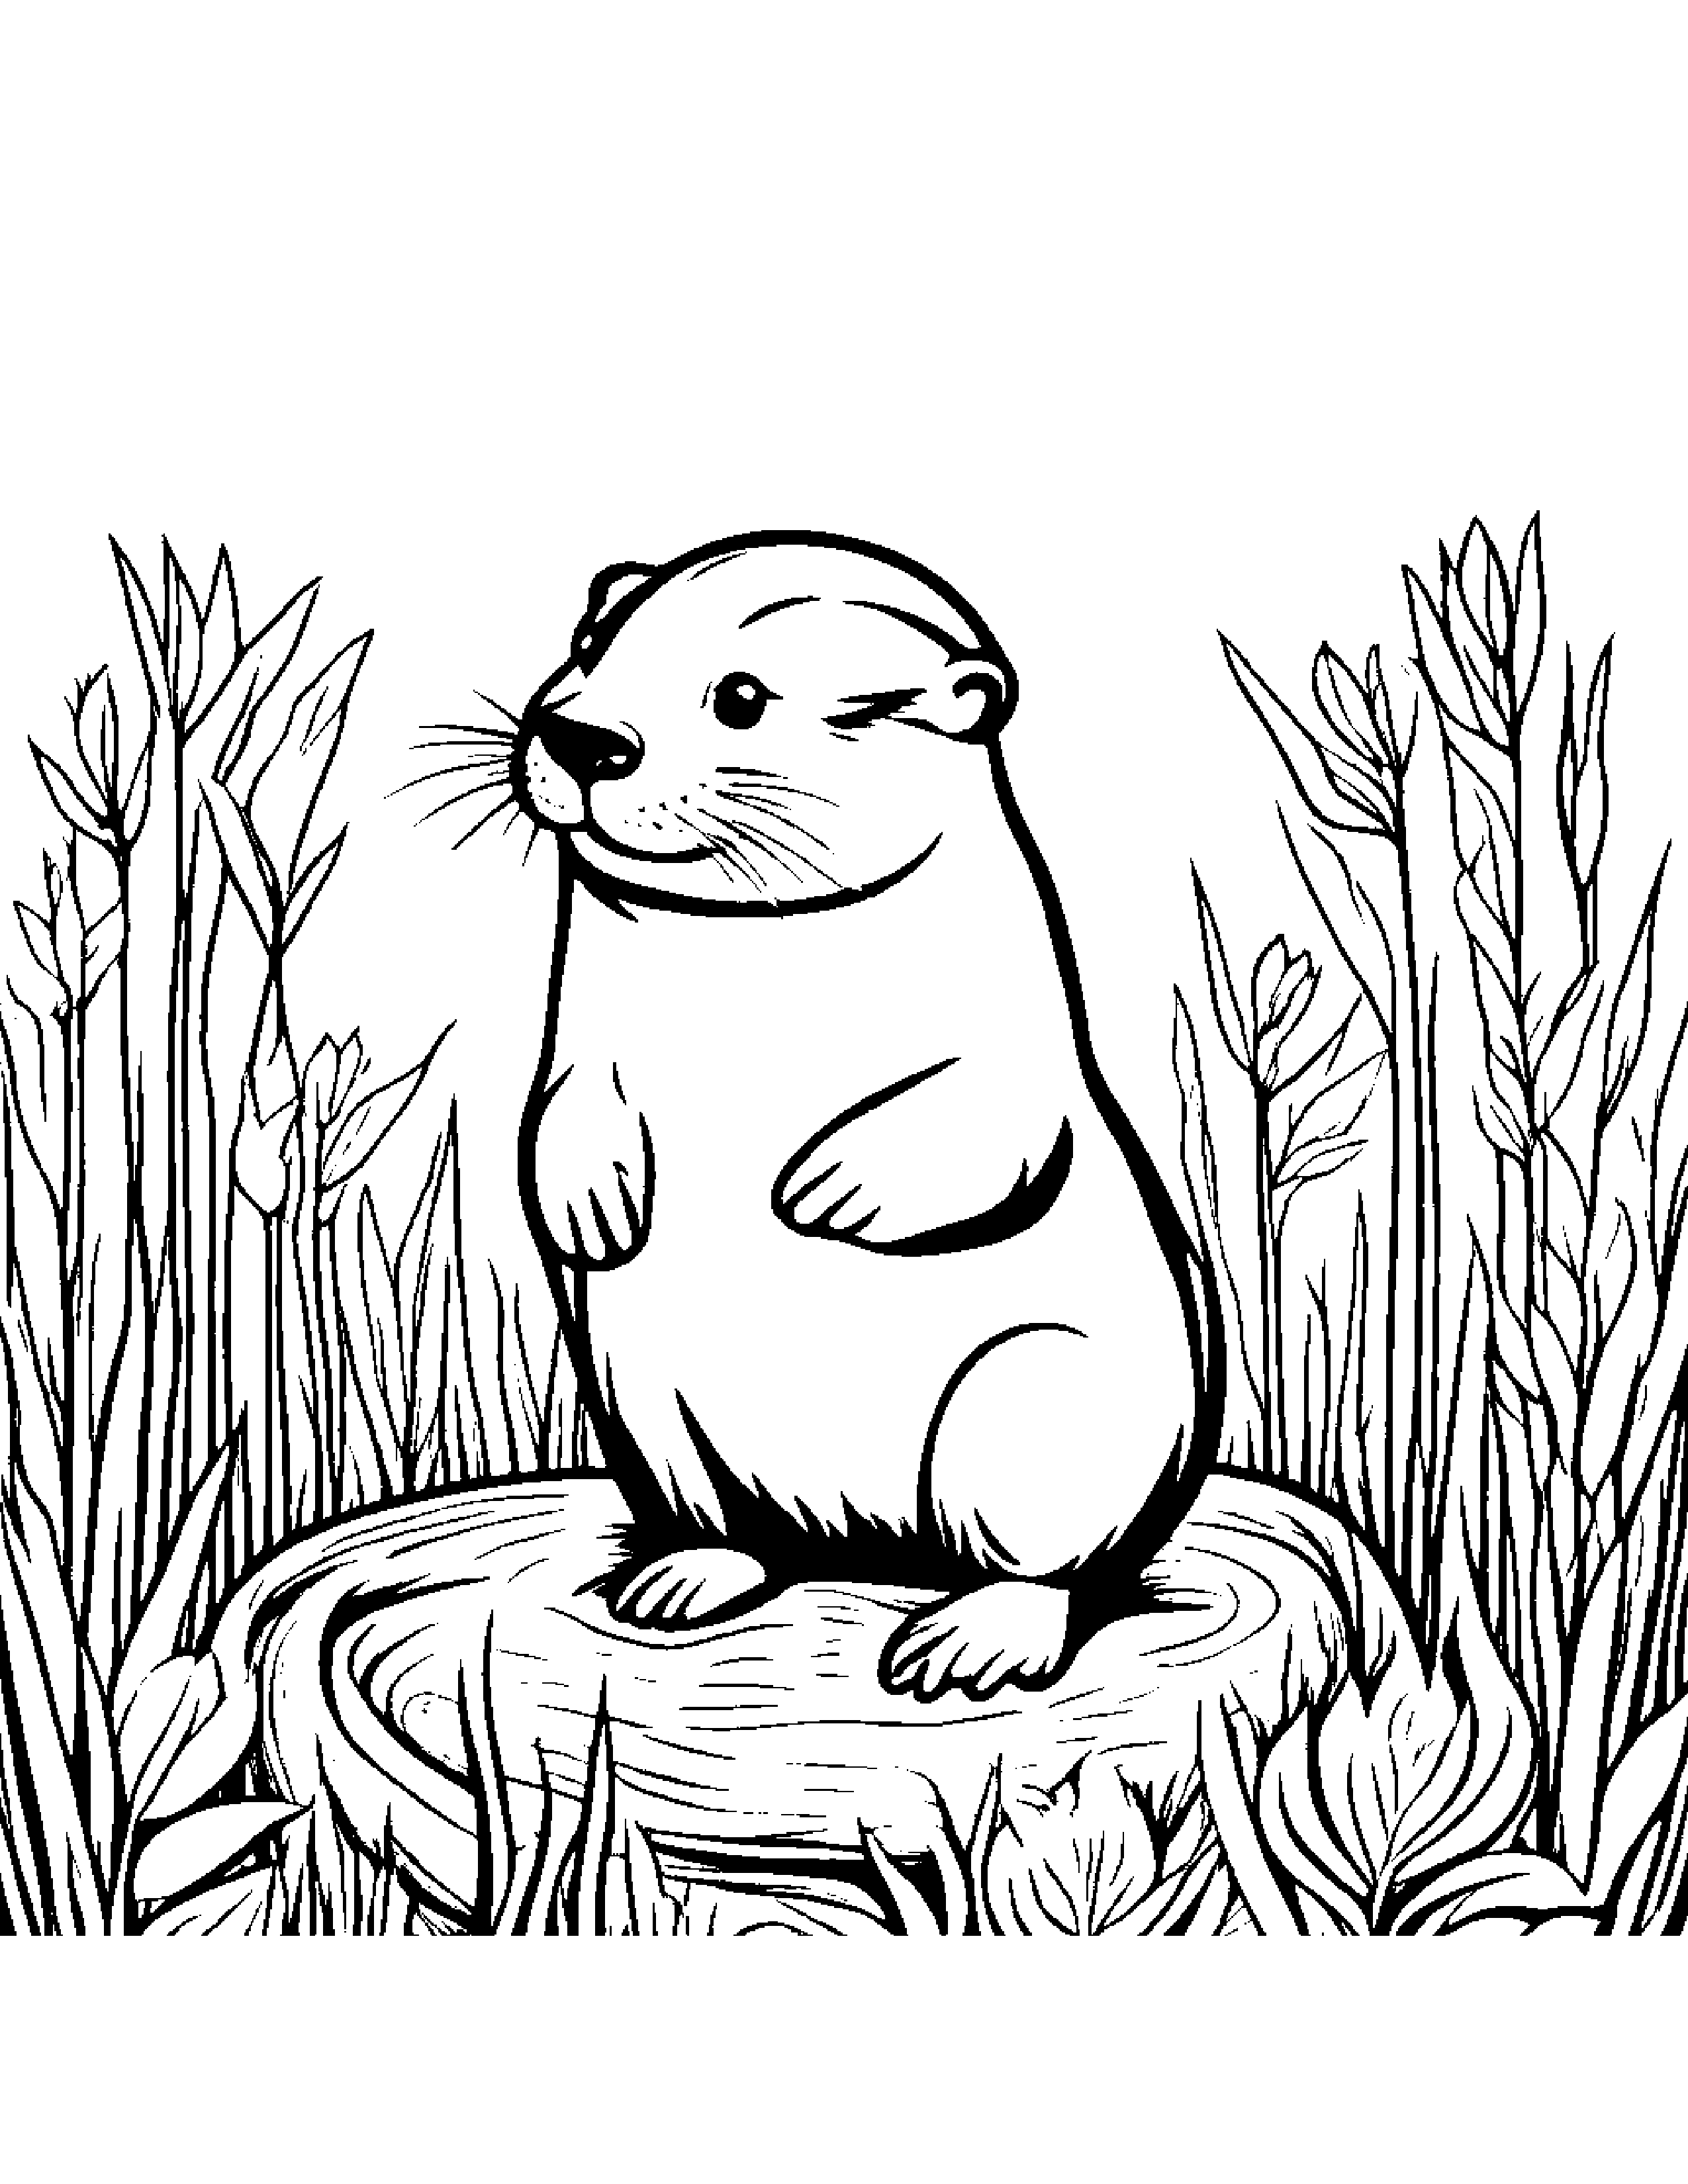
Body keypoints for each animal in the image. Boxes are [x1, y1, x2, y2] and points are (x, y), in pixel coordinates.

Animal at [508, 532, 1222, 1702]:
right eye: (590, 648)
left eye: (740, 697)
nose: (583, 737)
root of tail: (869, 1540)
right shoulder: (582, 1024)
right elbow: (559, 1105)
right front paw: (594, 1211)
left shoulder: (1017, 1021)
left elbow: (1000, 1116)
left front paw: (823, 1195)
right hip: (645, 1403)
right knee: (734, 1522)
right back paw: (685, 1579)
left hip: (1036, 1407)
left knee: (1051, 1564)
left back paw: (971, 1640)